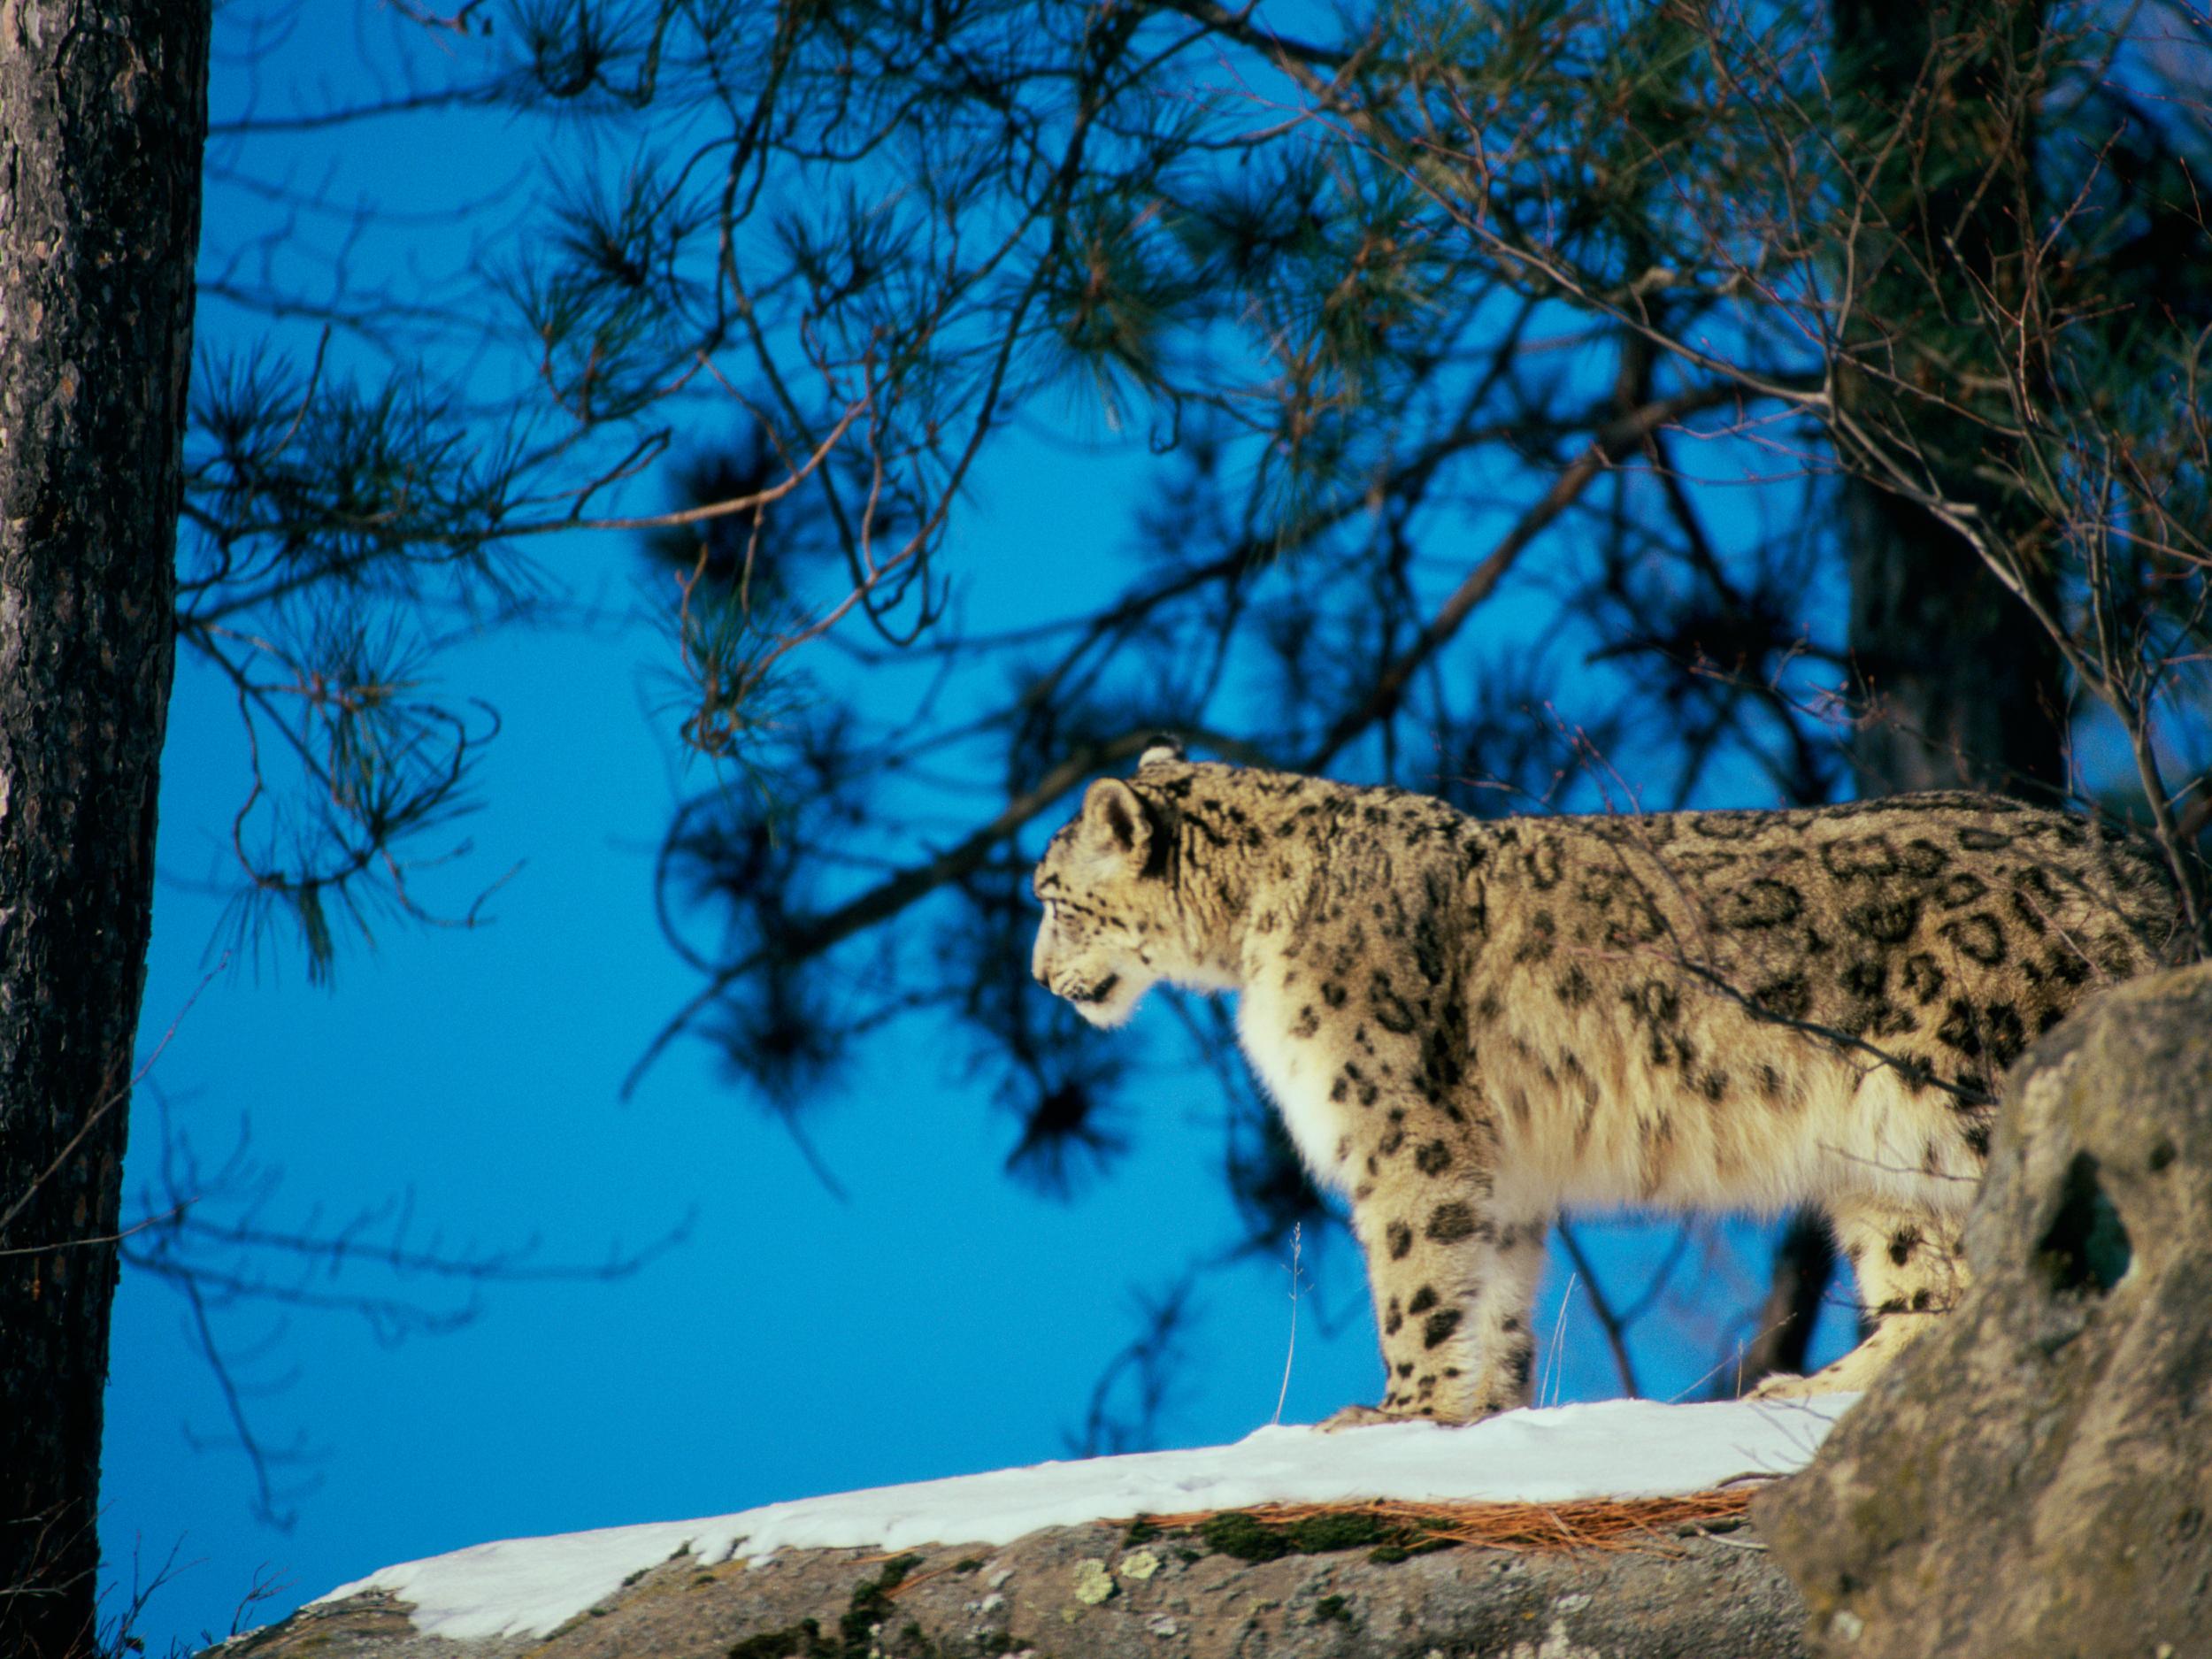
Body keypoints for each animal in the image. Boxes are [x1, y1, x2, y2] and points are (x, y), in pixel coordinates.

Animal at [1031, 739, 2177, 1433]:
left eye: (1051, 896)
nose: (1039, 979)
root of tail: (2137, 867)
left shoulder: (1403, 1129)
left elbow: (1412, 1275)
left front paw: (1393, 1414)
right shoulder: (1497, 1169)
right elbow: (1489, 1290)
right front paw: (1478, 1411)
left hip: (1974, 1094)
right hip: (1879, 1160)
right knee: (1927, 1286)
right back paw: (1812, 1387)